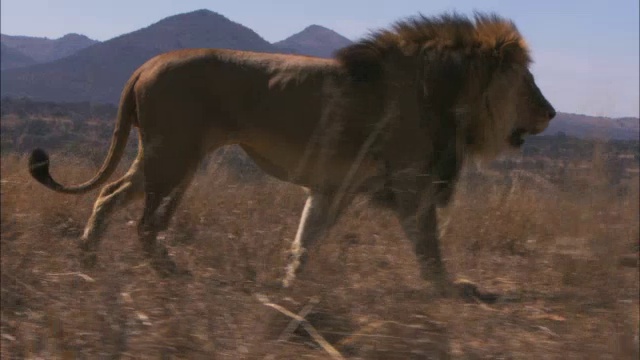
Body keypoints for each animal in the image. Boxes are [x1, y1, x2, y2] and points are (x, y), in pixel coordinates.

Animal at [27, 13, 556, 300]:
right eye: (529, 82)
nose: (551, 112)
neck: (449, 95)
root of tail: (146, 64)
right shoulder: (412, 185)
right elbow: (428, 245)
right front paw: (449, 289)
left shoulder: (334, 188)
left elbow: (306, 239)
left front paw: (287, 288)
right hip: (174, 156)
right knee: (141, 221)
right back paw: (163, 271)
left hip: (167, 157)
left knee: (112, 198)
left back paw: (89, 260)